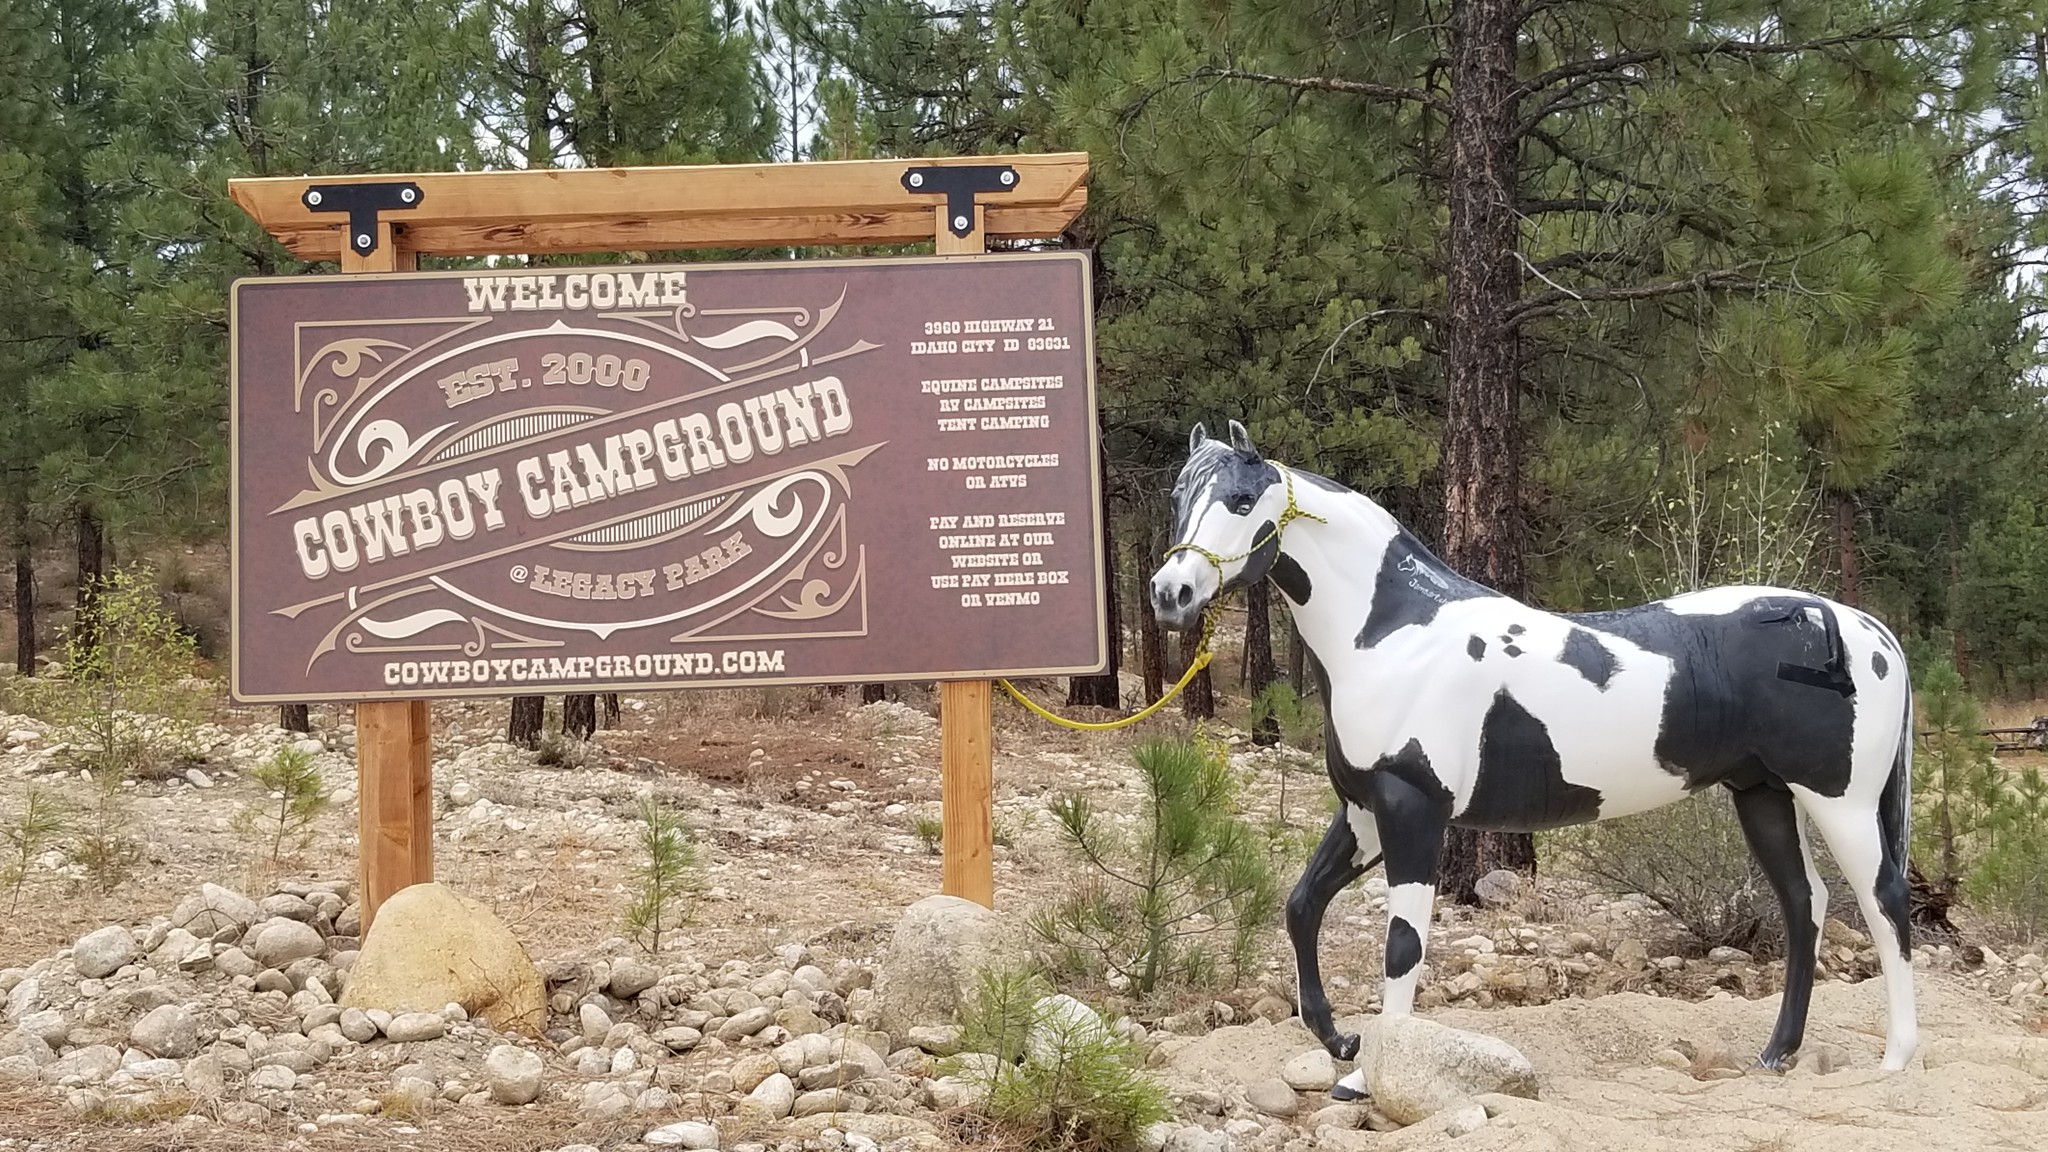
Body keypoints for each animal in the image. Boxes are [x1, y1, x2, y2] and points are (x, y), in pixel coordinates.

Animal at [1148, 421, 1916, 1098]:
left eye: (1240, 500)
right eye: (1178, 493)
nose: (1169, 593)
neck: (1395, 637)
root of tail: (1863, 629)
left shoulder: (1413, 811)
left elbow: (1403, 946)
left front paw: (1365, 1079)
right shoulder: (1365, 811)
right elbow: (1302, 907)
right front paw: (1341, 1041)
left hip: (1841, 802)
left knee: (1884, 901)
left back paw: (1897, 1059)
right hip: (1763, 794)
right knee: (1804, 903)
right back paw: (1777, 1054)